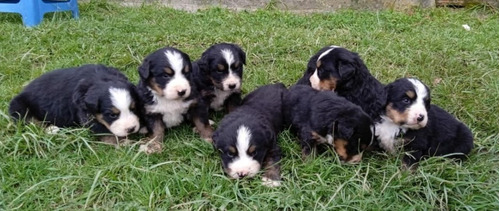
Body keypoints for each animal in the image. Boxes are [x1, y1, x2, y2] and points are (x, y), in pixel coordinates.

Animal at [9, 64, 141, 143]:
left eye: (133, 108)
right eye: (112, 115)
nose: (131, 128)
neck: (100, 79)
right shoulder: (86, 115)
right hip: (19, 107)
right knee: (31, 123)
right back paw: (51, 129)